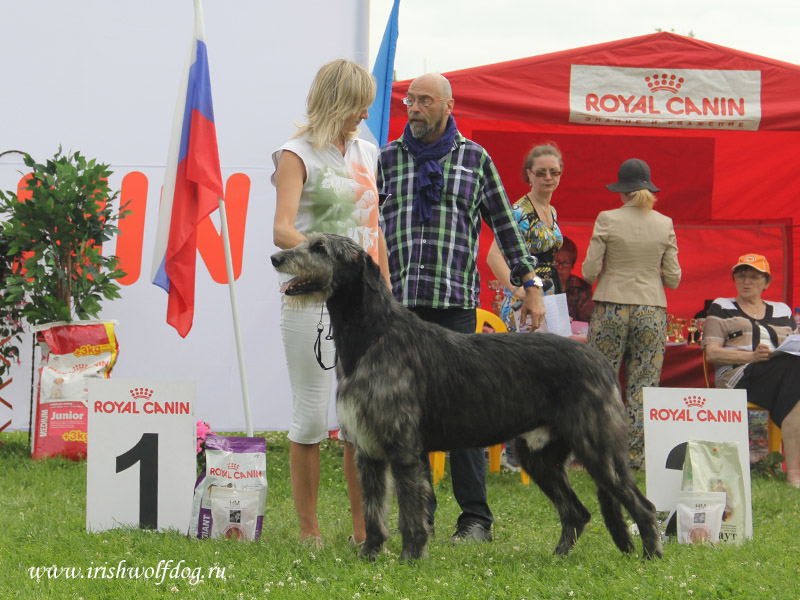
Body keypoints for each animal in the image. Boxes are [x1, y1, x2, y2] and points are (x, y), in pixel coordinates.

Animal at [270, 231, 664, 564]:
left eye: (320, 248)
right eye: (308, 241)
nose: (276, 257)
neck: (373, 334)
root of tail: (601, 361)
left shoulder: (403, 449)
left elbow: (410, 512)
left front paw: (409, 558)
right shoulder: (368, 450)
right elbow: (372, 511)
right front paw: (369, 555)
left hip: (598, 448)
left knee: (642, 506)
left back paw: (651, 557)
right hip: (538, 455)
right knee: (577, 512)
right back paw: (559, 557)